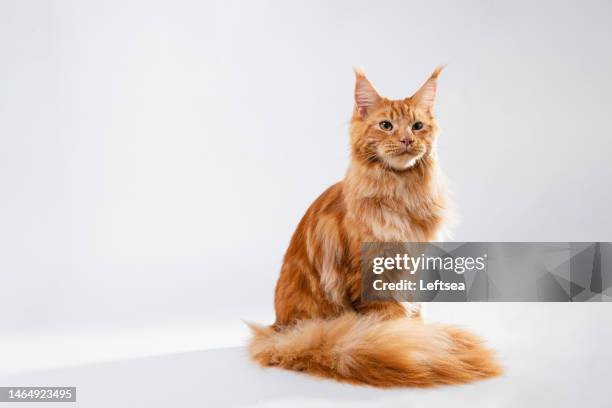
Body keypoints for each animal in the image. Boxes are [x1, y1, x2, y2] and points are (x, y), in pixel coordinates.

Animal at [246, 68, 500, 388]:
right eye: (386, 125)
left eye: (417, 126)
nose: (406, 140)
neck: (401, 194)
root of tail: (280, 331)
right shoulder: (373, 275)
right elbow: (390, 320)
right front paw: (406, 343)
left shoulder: (411, 270)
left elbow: (413, 312)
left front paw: (420, 338)